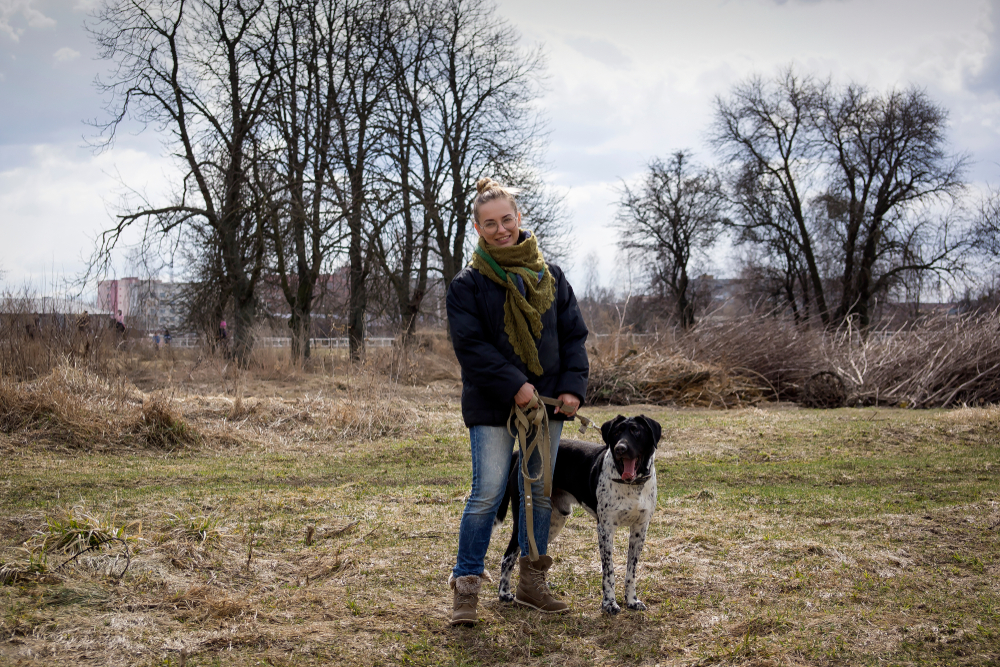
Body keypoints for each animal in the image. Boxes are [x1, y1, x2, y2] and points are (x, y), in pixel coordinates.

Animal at [494, 418, 664, 616]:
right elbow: (609, 572)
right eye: (616, 433)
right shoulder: (605, 529)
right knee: (508, 557)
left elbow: (631, 572)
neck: (632, 485)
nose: (620, 448)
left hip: (552, 522)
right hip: (524, 520)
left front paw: (632, 600)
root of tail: (519, 454)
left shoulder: (639, 530)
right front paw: (609, 603)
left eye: (636, 431)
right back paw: (504, 593)